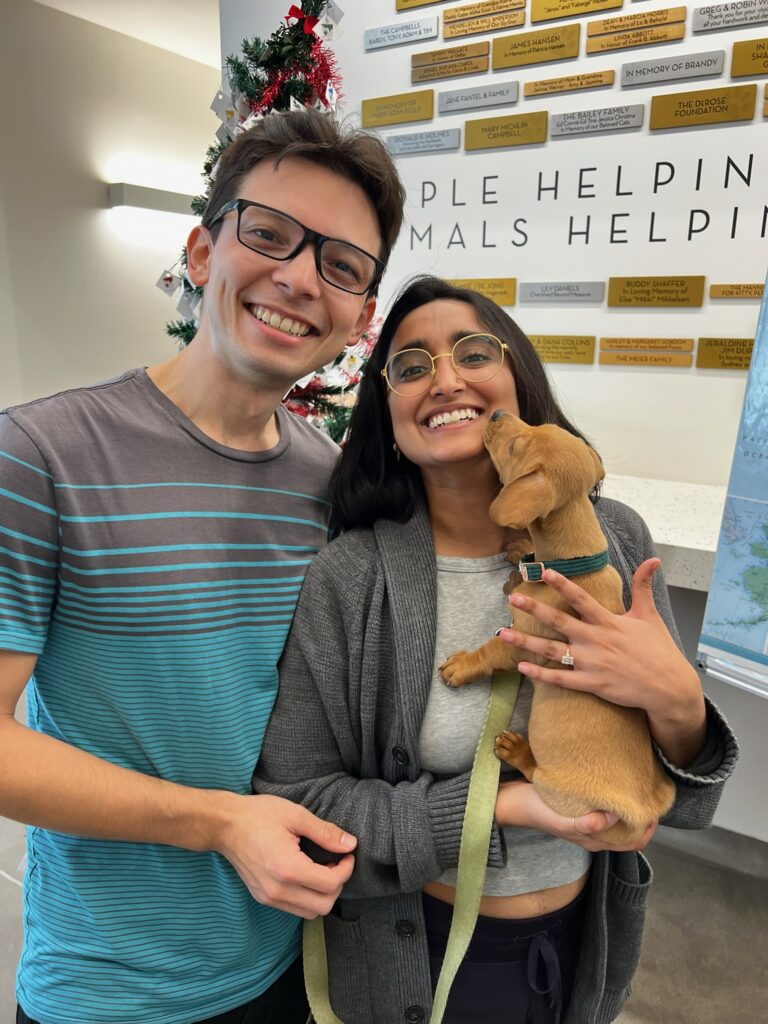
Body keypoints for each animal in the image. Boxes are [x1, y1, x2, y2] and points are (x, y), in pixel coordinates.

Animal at [442, 411, 675, 843]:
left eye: (515, 446)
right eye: (535, 426)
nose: (496, 413)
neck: (571, 566)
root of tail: (638, 813)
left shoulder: (521, 642)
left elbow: (490, 649)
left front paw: (461, 665)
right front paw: (521, 549)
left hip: (552, 787)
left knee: (536, 775)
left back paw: (519, 752)